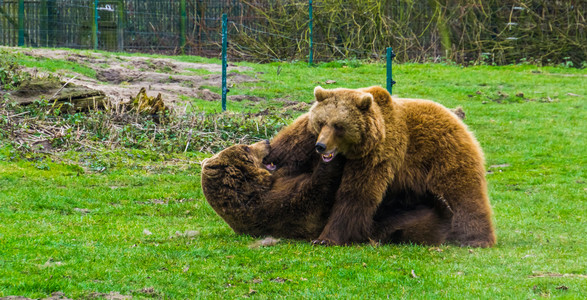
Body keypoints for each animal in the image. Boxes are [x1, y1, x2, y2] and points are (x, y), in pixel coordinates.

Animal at [264, 85, 494, 247]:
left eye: (339, 126)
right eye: (322, 122)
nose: (321, 146)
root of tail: (455, 117)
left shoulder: (376, 156)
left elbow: (356, 194)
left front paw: (326, 237)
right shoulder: (305, 138)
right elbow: (282, 152)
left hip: (443, 156)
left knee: (463, 195)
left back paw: (476, 238)